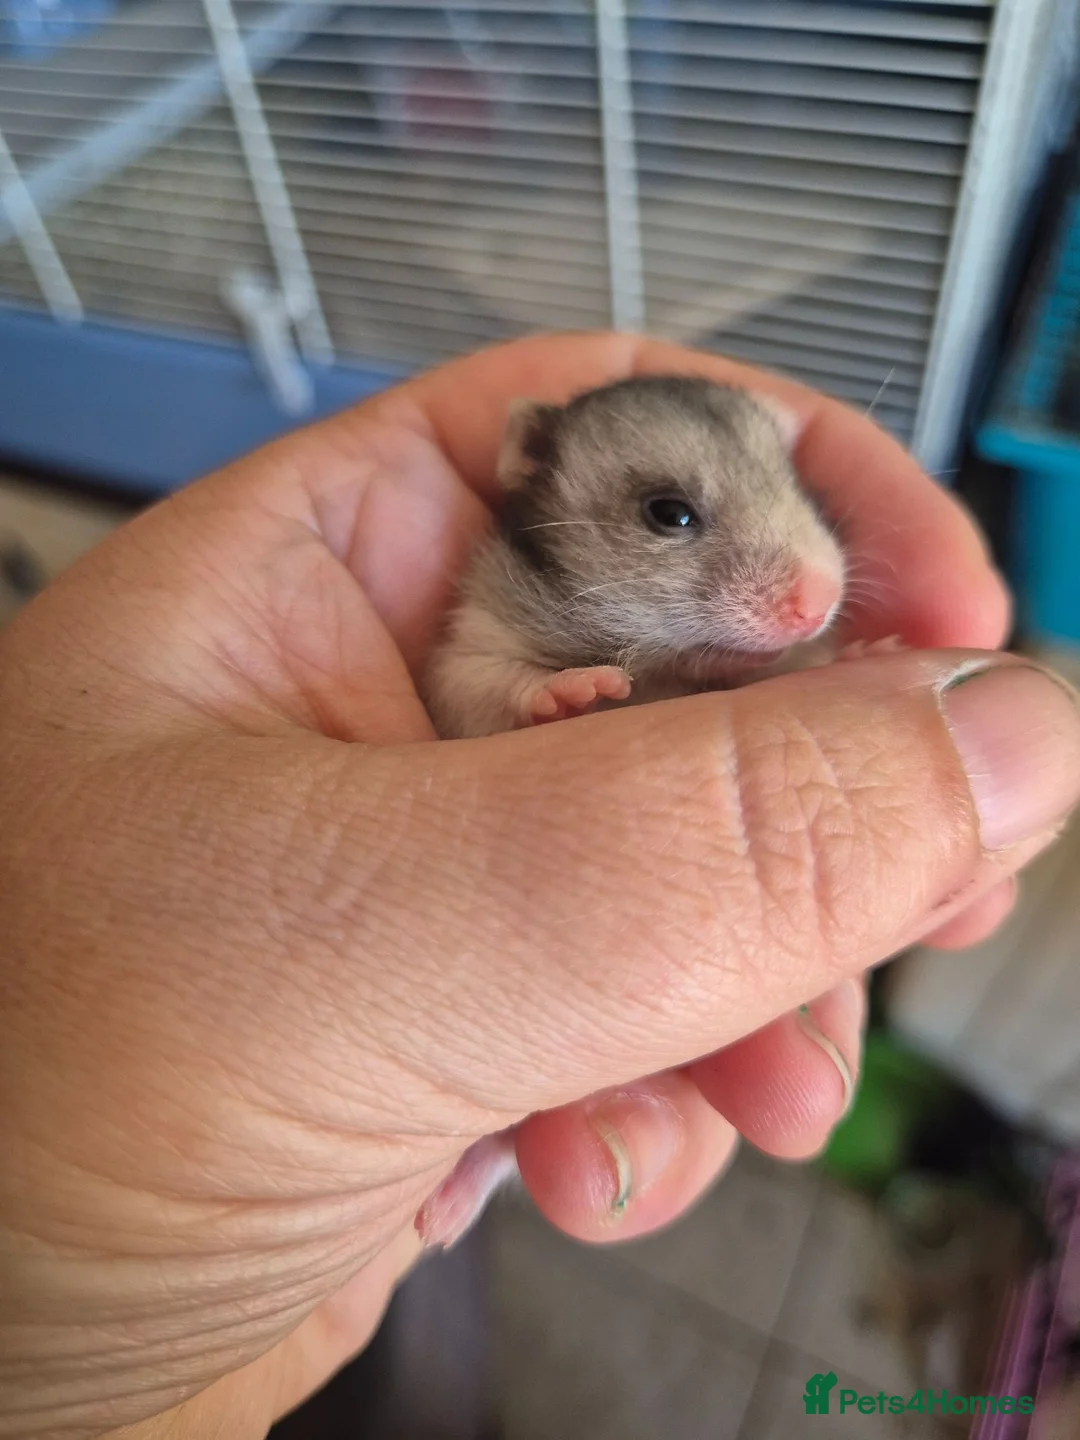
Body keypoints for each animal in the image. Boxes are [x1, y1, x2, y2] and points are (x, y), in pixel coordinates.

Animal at [424, 375, 846, 741]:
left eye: (804, 493)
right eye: (671, 513)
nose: (818, 608)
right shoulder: (476, 638)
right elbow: (474, 684)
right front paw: (579, 685)